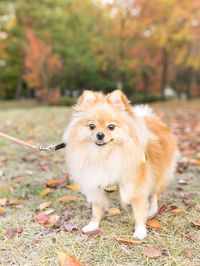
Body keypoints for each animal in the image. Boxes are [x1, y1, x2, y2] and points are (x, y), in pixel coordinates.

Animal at [63, 89, 177, 239]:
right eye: (92, 126)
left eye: (111, 127)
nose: (100, 135)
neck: (105, 155)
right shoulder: (96, 184)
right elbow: (96, 210)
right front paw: (93, 226)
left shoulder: (137, 188)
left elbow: (138, 212)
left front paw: (140, 231)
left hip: (160, 175)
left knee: (154, 195)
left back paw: (152, 210)